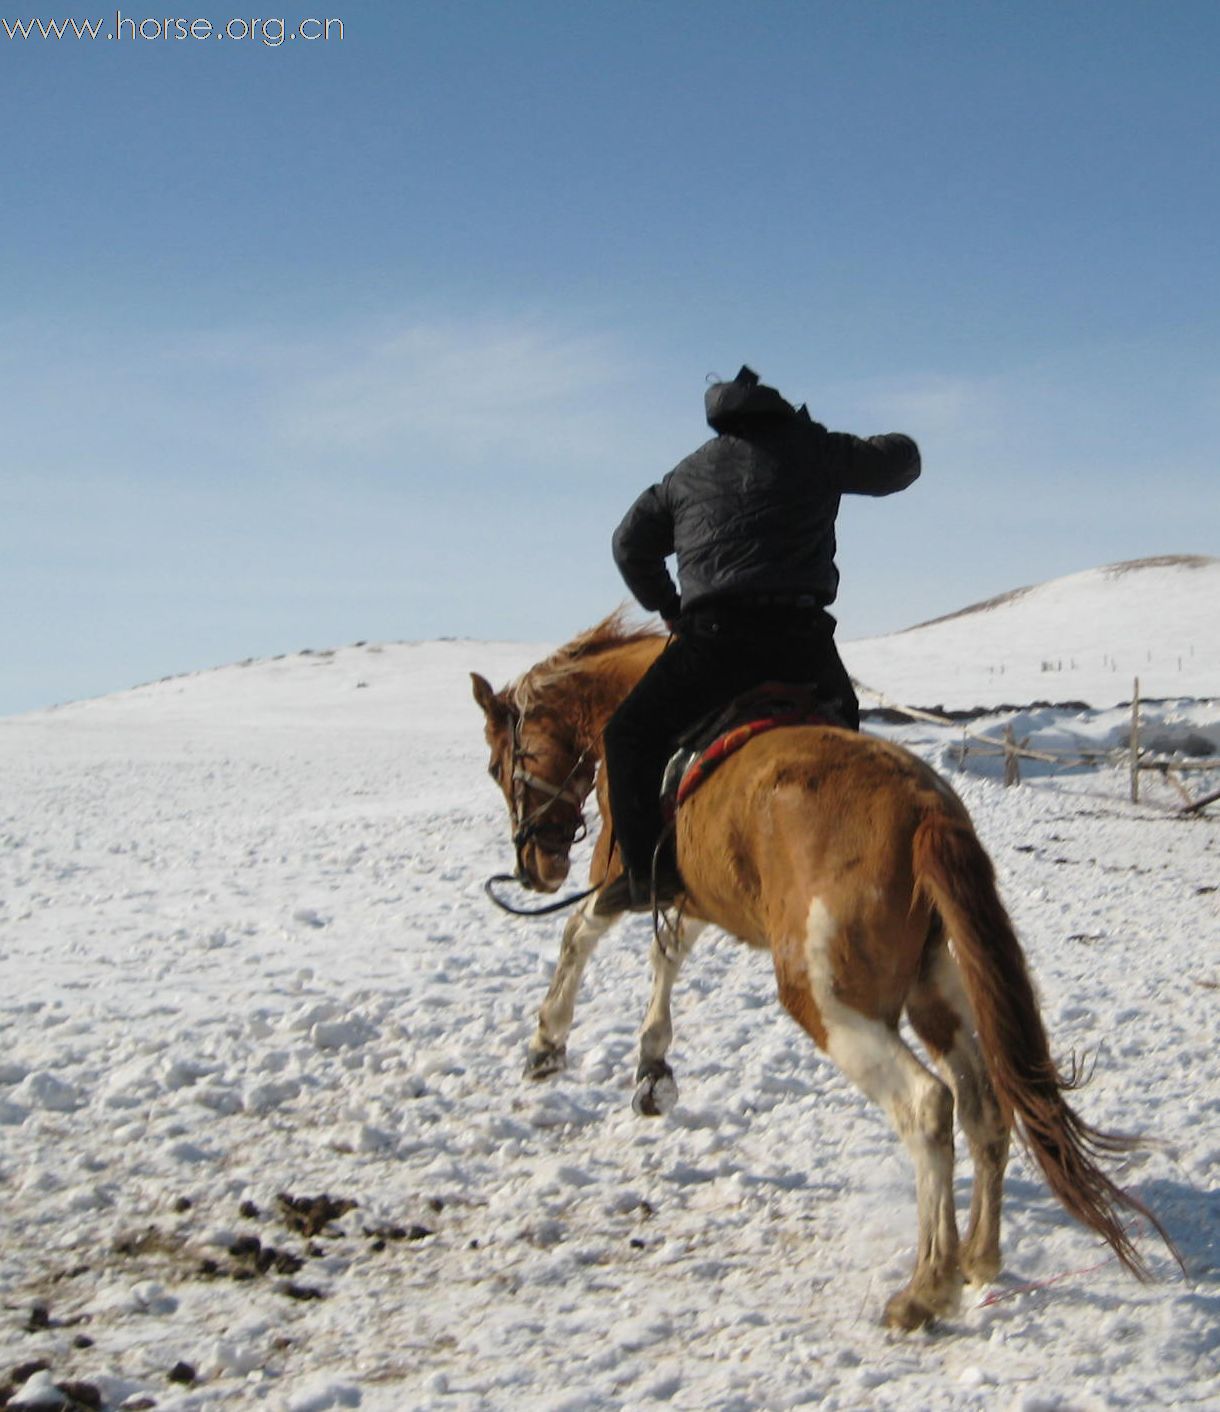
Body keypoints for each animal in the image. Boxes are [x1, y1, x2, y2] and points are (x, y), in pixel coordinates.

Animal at [468, 612, 1174, 1327]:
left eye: (500, 765)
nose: (536, 869)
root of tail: (922, 810)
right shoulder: (695, 896)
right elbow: (667, 955)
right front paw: (652, 1070)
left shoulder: (625, 875)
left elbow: (579, 933)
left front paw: (548, 1044)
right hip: (933, 990)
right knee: (984, 1102)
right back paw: (979, 1258)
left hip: (829, 1001)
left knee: (927, 1107)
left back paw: (926, 1287)